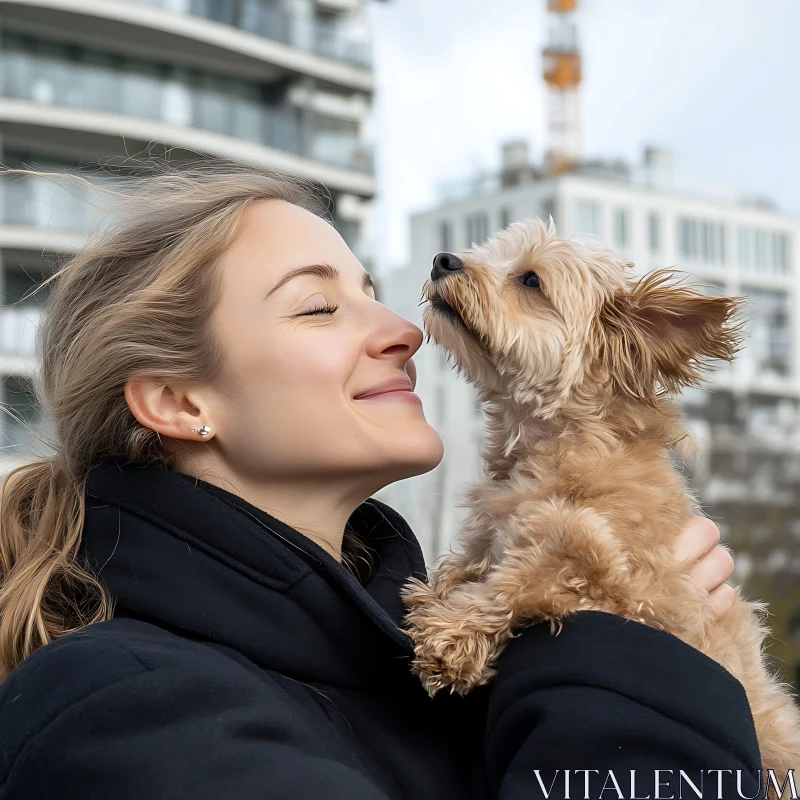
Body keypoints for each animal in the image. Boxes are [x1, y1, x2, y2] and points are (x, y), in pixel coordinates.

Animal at [404, 219, 800, 780]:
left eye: (530, 280)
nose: (443, 260)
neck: (560, 445)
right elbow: (471, 564)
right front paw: (437, 591)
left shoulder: (618, 574)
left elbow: (521, 582)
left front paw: (451, 636)